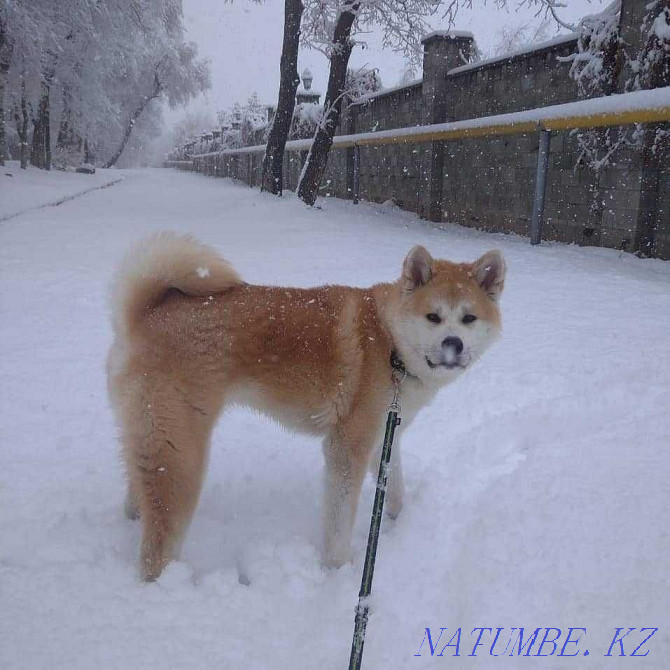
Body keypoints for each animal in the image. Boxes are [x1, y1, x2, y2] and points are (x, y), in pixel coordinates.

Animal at [107, 236, 506, 584]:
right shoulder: (347, 447)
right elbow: (339, 523)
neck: (390, 342)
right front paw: (339, 571)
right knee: (156, 548)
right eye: (433, 317)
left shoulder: (383, 435)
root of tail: (145, 314)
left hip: (151, 438)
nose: (453, 344)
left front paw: (397, 521)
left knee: (136, 496)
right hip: (181, 457)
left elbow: (394, 485)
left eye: (469, 319)